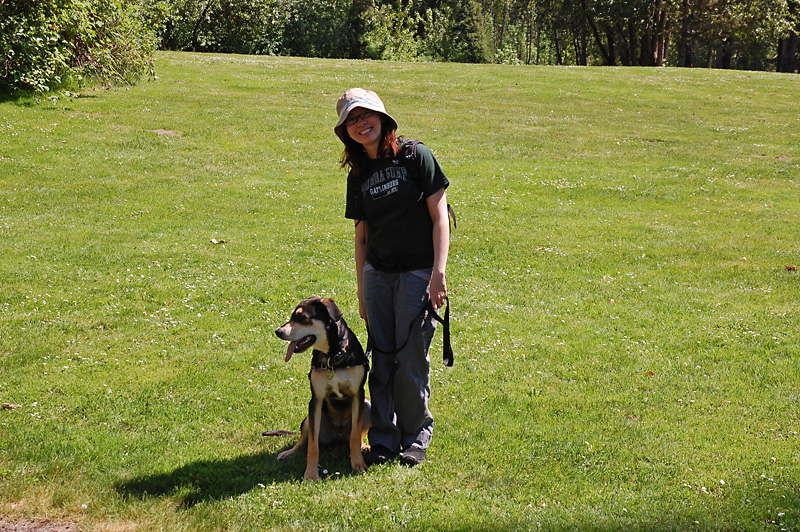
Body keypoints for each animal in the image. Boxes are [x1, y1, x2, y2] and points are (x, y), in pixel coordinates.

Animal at [268, 298, 370, 480]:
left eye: (303, 318)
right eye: (293, 316)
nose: (278, 331)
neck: (333, 357)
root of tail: (338, 436)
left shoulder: (358, 395)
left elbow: (355, 435)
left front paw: (358, 463)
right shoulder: (316, 399)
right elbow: (312, 444)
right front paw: (311, 473)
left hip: (368, 406)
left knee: (355, 437)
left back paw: (364, 446)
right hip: (308, 418)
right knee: (302, 441)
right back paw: (288, 453)